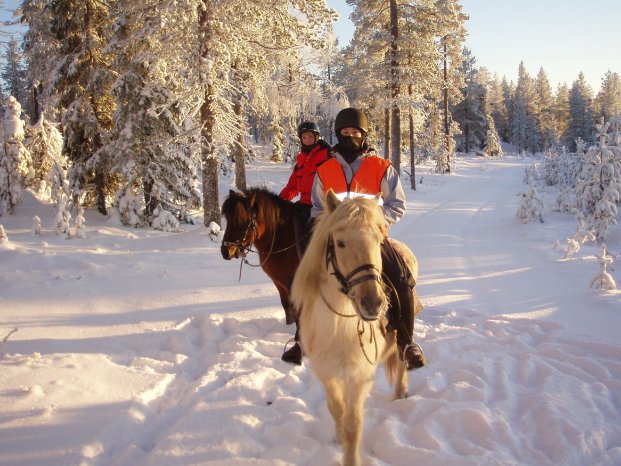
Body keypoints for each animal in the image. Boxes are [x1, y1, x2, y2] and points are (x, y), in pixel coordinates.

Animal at [292, 189, 416, 466]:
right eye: (340, 243)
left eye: (378, 241)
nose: (373, 303)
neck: (339, 326)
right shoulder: (325, 372)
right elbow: (336, 410)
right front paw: (337, 438)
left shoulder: (359, 377)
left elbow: (353, 424)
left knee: (402, 359)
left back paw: (400, 393)